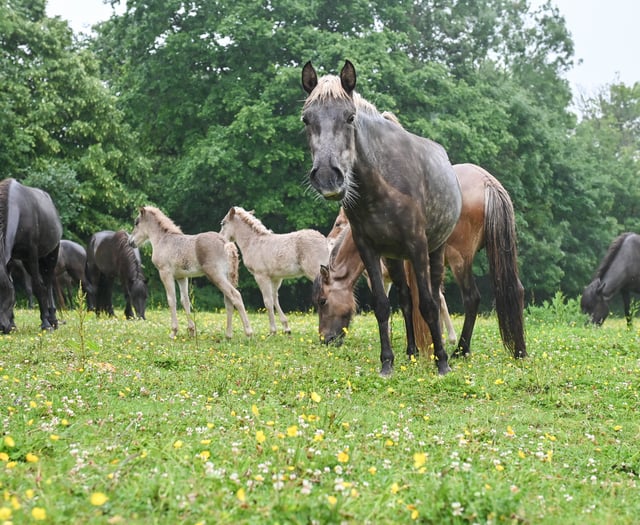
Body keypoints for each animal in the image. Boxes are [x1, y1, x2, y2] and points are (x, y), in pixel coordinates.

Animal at [0, 178, 62, 333]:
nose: (2, 327)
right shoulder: (10, 260)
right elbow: (13, 285)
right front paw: (12, 323)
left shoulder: (31, 255)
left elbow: (37, 286)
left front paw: (45, 323)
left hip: (51, 254)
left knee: (47, 282)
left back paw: (53, 319)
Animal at [130, 206, 253, 339]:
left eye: (136, 222)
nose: (130, 242)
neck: (163, 240)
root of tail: (226, 242)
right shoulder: (181, 277)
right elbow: (185, 301)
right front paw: (191, 331)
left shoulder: (165, 273)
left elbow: (171, 299)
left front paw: (173, 332)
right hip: (227, 276)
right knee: (229, 301)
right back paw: (228, 335)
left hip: (215, 275)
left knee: (235, 295)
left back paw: (248, 333)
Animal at [220, 206, 330, 334]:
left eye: (223, 223)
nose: (221, 238)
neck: (253, 242)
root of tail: (324, 240)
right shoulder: (275, 277)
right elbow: (274, 298)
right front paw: (286, 328)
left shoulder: (261, 276)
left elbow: (268, 301)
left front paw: (272, 331)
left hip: (316, 272)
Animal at [302, 60, 462, 376]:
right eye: (306, 120)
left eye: (350, 117)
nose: (327, 177)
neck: (379, 187)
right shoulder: (370, 249)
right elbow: (382, 305)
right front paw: (387, 362)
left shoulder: (417, 246)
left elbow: (428, 303)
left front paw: (442, 362)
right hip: (394, 257)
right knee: (405, 299)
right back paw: (411, 353)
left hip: (434, 250)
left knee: (432, 295)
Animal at [313, 163, 527, 359]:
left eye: (323, 301)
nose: (324, 339)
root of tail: (486, 181)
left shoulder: (395, 263)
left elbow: (406, 300)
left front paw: (413, 349)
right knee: (515, 289)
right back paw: (519, 350)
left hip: (460, 260)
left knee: (471, 298)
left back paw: (461, 350)